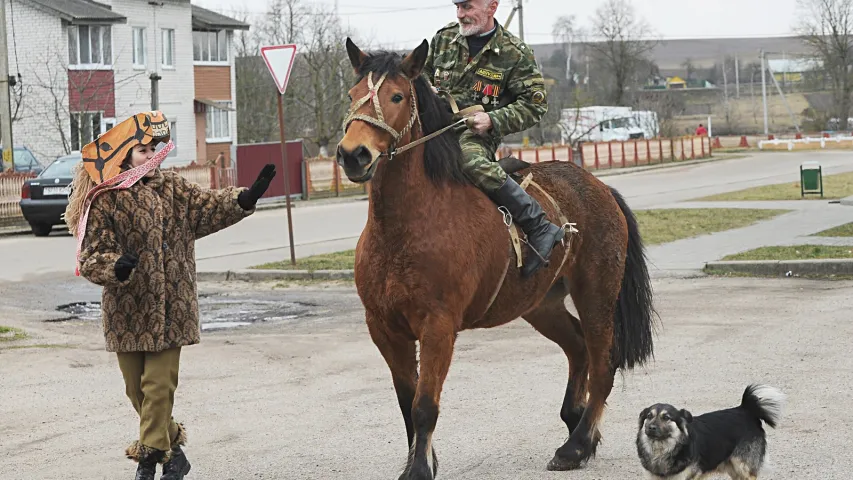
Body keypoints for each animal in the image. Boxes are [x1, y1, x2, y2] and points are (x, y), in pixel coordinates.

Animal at [336, 38, 656, 480]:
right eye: (352, 95)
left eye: (397, 96)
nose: (353, 154)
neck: (404, 227)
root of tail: (600, 187)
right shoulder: (384, 329)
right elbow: (406, 402)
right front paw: (420, 462)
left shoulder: (438, 328)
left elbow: (424, 406)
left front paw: (420, 469)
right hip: (541, 306)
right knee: (577, 348)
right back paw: (574, 421)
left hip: (597, 296)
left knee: (603, 365)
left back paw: (577, 446)